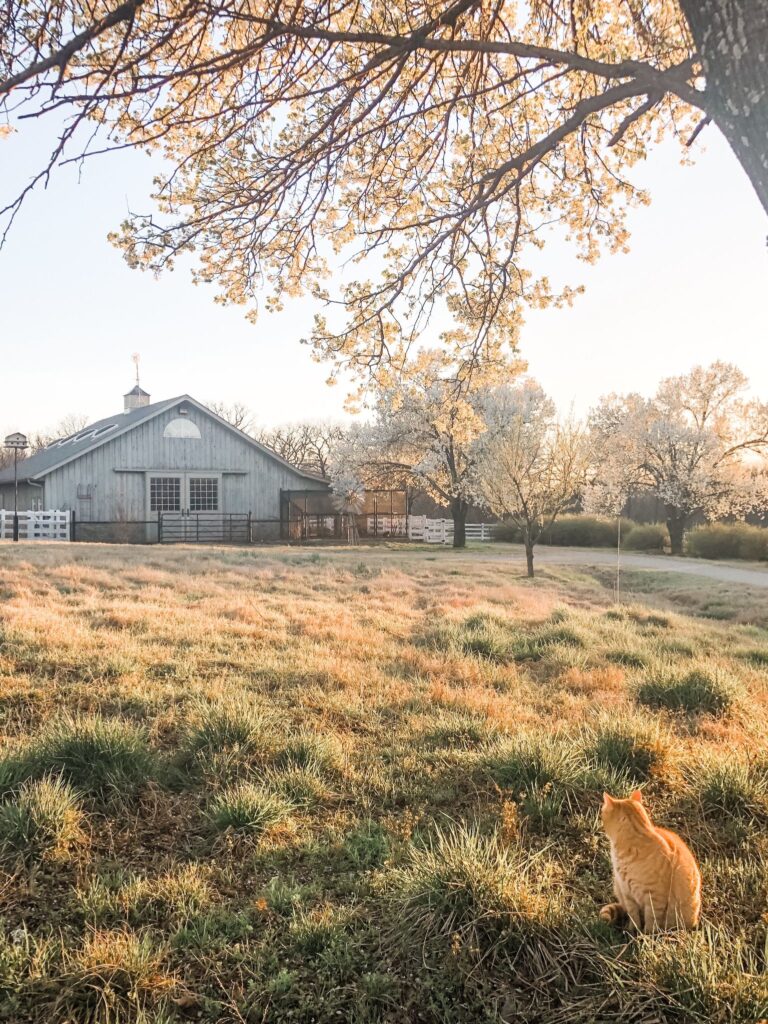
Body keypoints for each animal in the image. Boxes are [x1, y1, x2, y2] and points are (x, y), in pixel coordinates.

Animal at [602, 786, 704, 933]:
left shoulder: (655, 897)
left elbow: (651, 919)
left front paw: (646, 935)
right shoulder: (626, 893)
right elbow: (633, 916)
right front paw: (632, 930)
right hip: (618, 889)